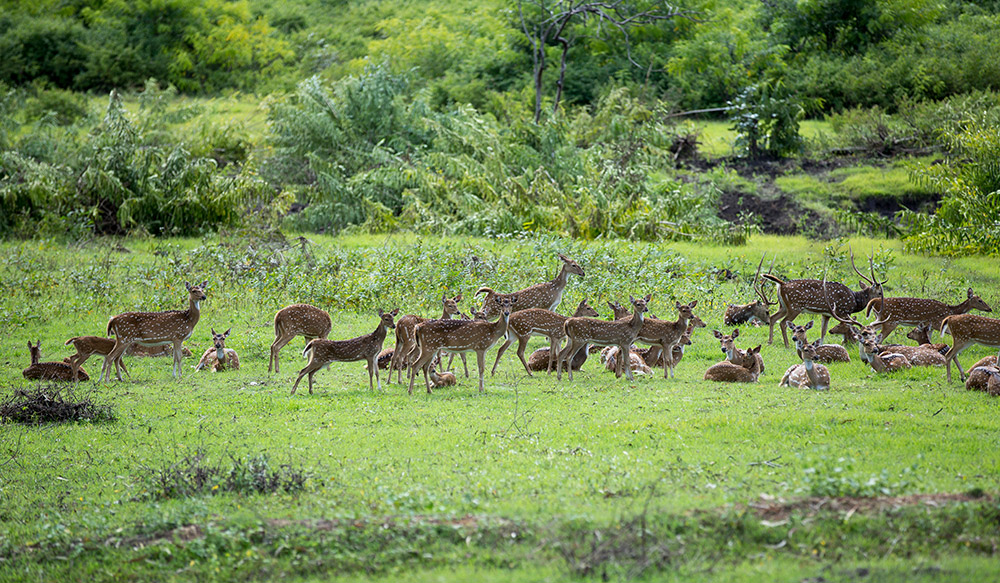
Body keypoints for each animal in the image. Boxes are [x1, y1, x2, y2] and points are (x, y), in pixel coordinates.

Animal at [760, 250, 888, 350]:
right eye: (879, 292)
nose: (882, 300)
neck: (855, 301)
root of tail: (781, 284)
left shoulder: (826, 314)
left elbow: (823, 331)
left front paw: (820, 345)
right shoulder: (842, 311)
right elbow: (848, 327)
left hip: (783, 306)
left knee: (773, 318)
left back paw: (770, 342)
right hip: (794, 307)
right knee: (783, 323)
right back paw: (787, 345)